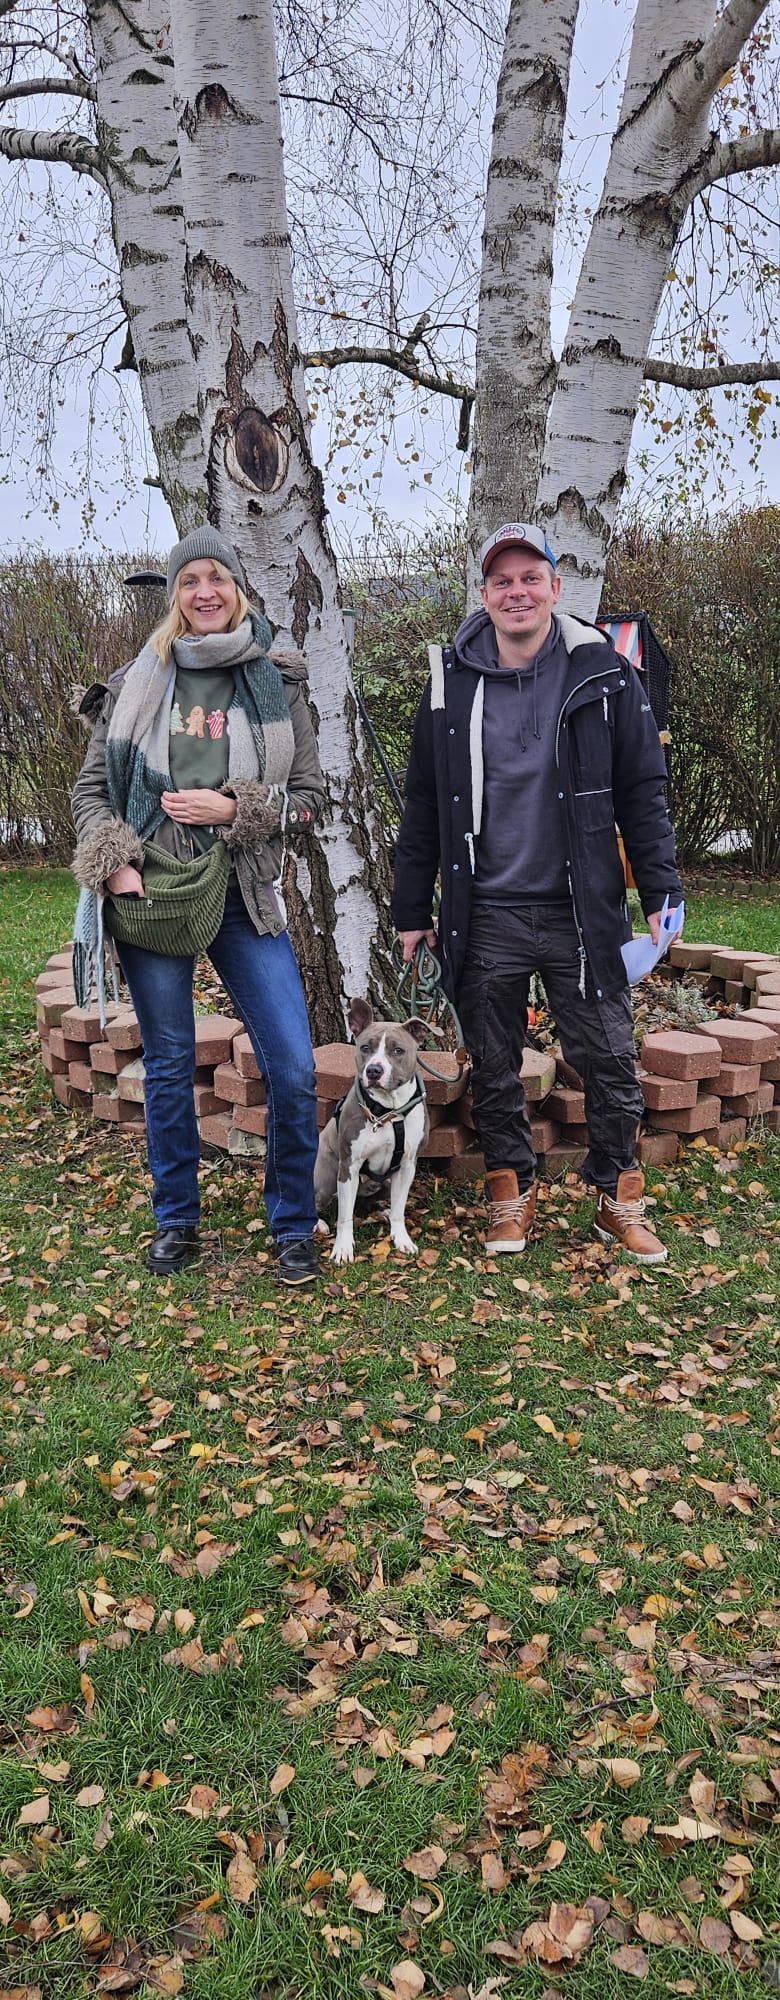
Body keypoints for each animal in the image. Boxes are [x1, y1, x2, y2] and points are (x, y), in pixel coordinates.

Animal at [315, 998, 429, 1265]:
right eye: (366, 1047)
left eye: (398, 1051)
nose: (374, 1070)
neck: (388, 1111)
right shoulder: (349, 1166)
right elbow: (344, 1217)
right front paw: (343, 1248)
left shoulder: (407, 1166)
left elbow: (399, 1208)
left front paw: (401, 1238)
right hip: (326, 1179)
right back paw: (318, 1224)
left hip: (386, 1181)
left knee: (369, 1202)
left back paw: (382, 1211)